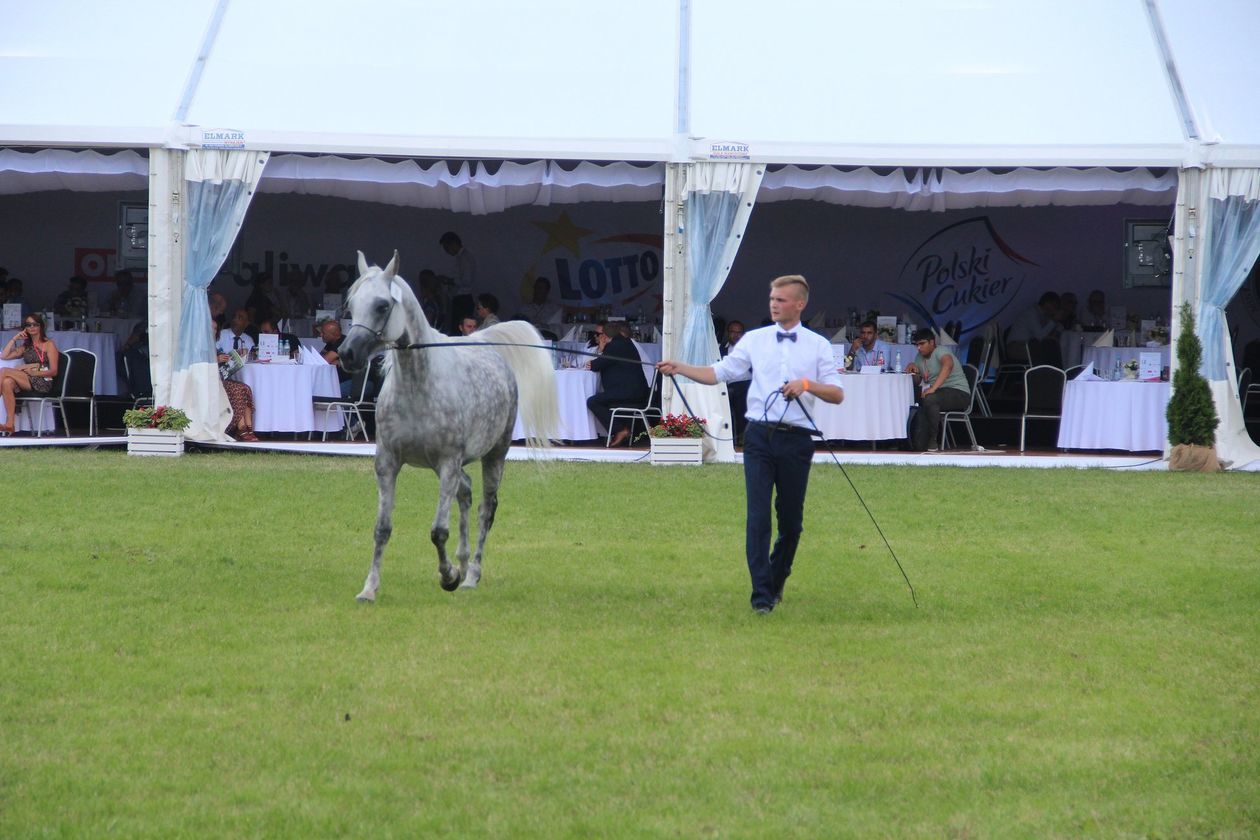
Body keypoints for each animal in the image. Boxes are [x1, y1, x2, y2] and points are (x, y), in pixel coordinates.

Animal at [340, 253, 556, 601]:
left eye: (383, 305)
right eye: (352, 304)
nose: (348, 354)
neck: (417, 388)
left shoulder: (447, 463)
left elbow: (439, 531)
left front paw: (449, 577)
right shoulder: (387, 464)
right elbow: (382, 528)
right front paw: (369, 589)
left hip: (493, 457)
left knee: (485, 509)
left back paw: (471, 575)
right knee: (465, 494)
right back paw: (464, 563)